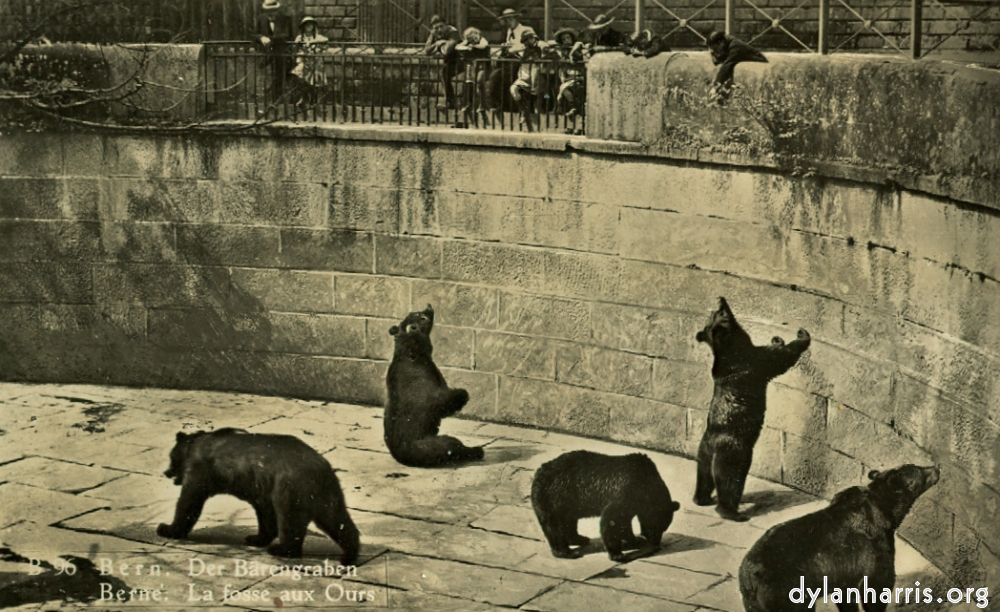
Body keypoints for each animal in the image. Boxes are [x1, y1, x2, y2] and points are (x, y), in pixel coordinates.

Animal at [156, 428, 360, 564]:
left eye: (171, 458)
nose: (166, 472)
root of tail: (320, 468)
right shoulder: (260, 488)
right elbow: (265, 514)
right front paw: (256, 537)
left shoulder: (202, 469)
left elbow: (189, 500)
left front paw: (166, 528)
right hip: (325, 495)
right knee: (337, 521)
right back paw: (349, 555)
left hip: (290, 488)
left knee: (290, 520)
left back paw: (281, 549)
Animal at [383, 304, 485, 467]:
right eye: (421, 316)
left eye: (416, 312)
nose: (428, 306)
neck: (412, 351)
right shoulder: (425, 383)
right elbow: (441, 403)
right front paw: (462, 393)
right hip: (431, 444)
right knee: (452, 445)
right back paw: (476, 451)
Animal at [531, 450, 681, 562]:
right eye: (657, 526)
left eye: (664, 527)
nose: (656, 542)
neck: (646, 484)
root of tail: (538, 472)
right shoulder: (626, 489)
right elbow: (612, 518)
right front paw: (617, 554)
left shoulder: (632, 502)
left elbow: (625, 521)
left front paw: (636, 540)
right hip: (554, 496)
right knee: (554, 525)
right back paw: (565, 551)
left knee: (569, 521)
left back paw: (580, 538)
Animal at [694, 297, 811, 521]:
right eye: (720, 312)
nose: (720, 298)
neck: (731, 349)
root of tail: (713, 444)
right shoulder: (753, 362)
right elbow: (779, 358)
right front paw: (802, 336)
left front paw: (777, 338)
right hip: (733, 452)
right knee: (730, 481)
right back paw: (732, 512)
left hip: (703, 451)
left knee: (703, 476)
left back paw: (701, 499)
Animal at [739, 464, 940, 612]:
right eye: (918, 471)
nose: (936, 468)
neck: (885, 509)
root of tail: (748, 577)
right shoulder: (874, 547)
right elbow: (877, 587)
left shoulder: (847, 568)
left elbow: (847, 595)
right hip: (785, 591)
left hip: (755, 602)